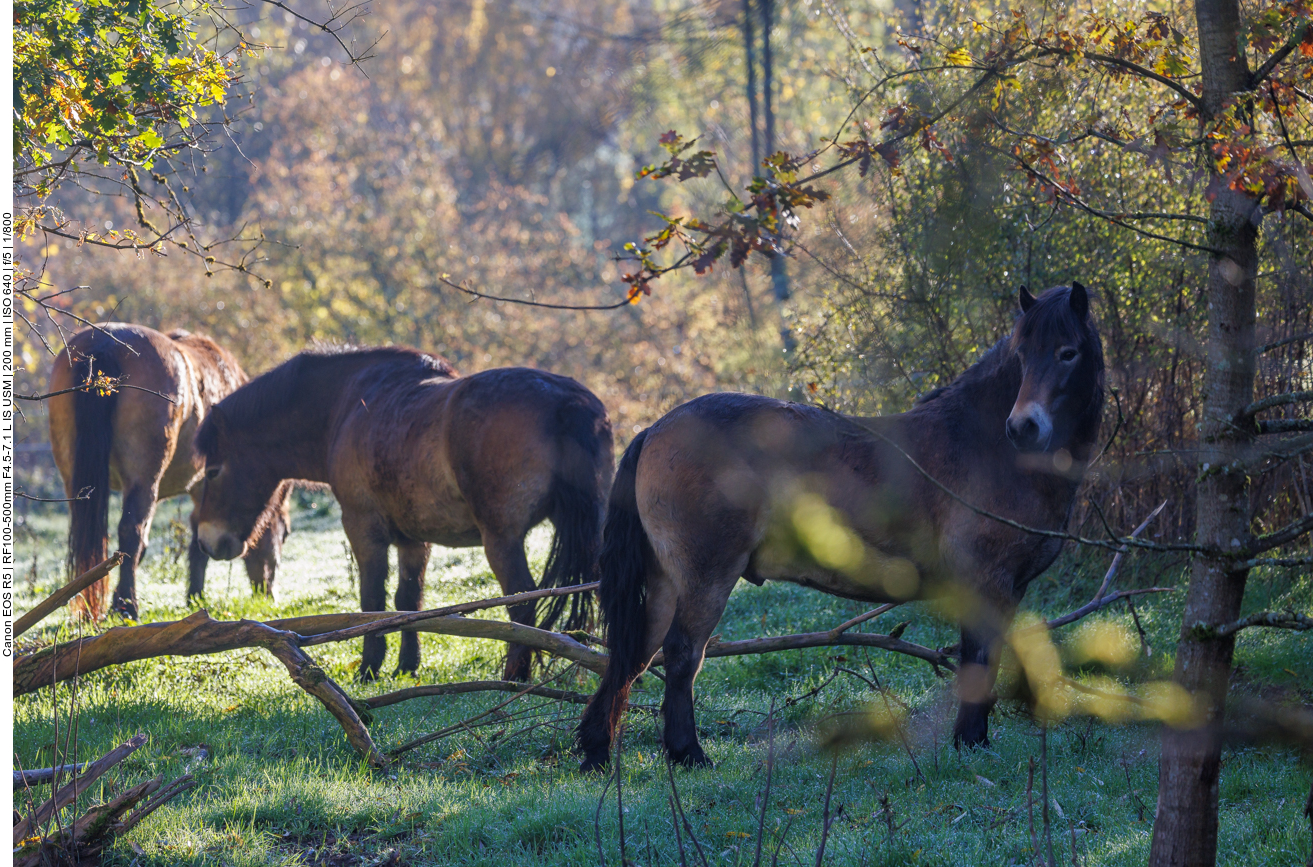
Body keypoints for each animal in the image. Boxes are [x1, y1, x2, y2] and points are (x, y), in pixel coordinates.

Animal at [49, 321, 292, 620]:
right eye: (284, 533)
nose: (269, 594)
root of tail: (106, 343)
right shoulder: (206, 487)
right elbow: (196, 542)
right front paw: (195, 597)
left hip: (74, 478)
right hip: (144, 479)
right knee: (131, 533)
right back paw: (128, 605)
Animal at [191, 341, 611, 683]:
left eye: (213, 471)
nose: (209, 542)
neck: (350, 404)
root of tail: (566, 402)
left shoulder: (363, 527)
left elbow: (372, 600)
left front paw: (369, 668)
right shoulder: (414, 538)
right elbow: (408, 601)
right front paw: (407, 667)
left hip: (502, 540)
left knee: (522, 604)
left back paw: (514, 676)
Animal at [580, 286, 1102, 772]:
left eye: (1068, 352)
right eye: (1021, 354)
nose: (1023, 427)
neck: (985, 445)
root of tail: (655, 429)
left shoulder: (1008, 588)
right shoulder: (987, 581)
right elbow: (977, 660)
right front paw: (970, 742)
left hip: (665, 584)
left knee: (633, 655)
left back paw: (596, 753)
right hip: (705, 578)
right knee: (682, 653)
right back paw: (687, 754)